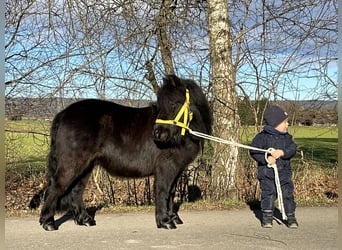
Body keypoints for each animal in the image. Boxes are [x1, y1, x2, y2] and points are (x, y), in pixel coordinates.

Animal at [30, 74, 211, 230]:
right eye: (161, 105)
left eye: (174, 103)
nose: (157, 134)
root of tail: (63, 114)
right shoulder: (166, 167)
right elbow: (163, 191)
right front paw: (165, 222)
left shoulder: (177, 168)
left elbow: (172, 192)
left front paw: (174, 218)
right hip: (72, 163)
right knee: (56, 187)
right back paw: (48, 222)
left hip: (86, 166)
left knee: (76, 191)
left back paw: (85, 220)